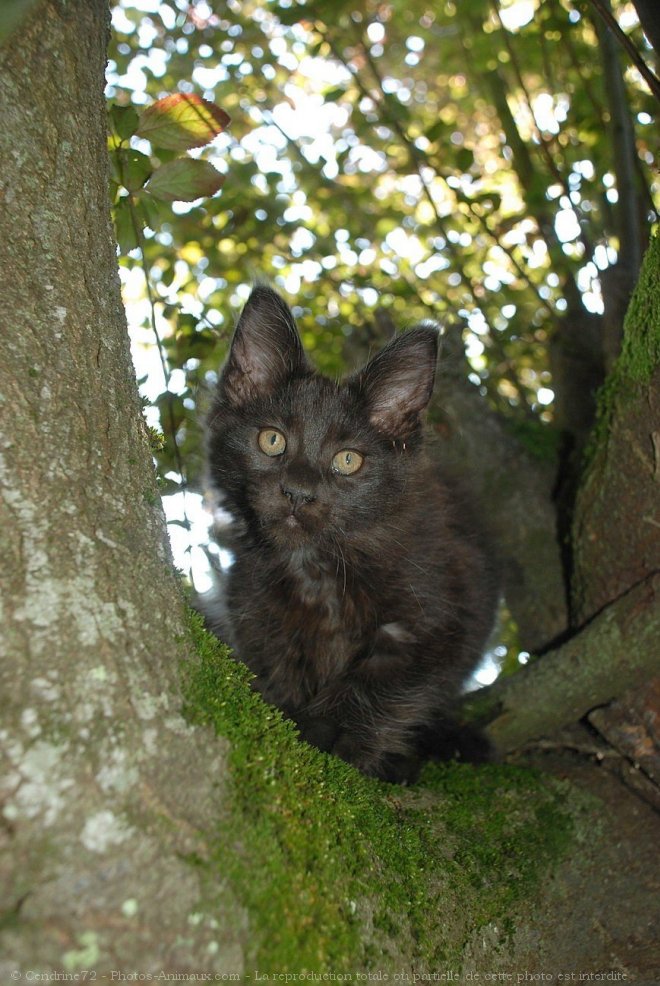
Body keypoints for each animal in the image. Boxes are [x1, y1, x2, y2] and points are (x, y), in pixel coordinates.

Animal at [204, 286, 498, 784]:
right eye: (271, 440)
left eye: (347, 460)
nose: (298, 493)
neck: (316, 565)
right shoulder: (257, 614)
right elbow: (280, 671)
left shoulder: (441, 610)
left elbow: (385, 683)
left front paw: (331, 736)